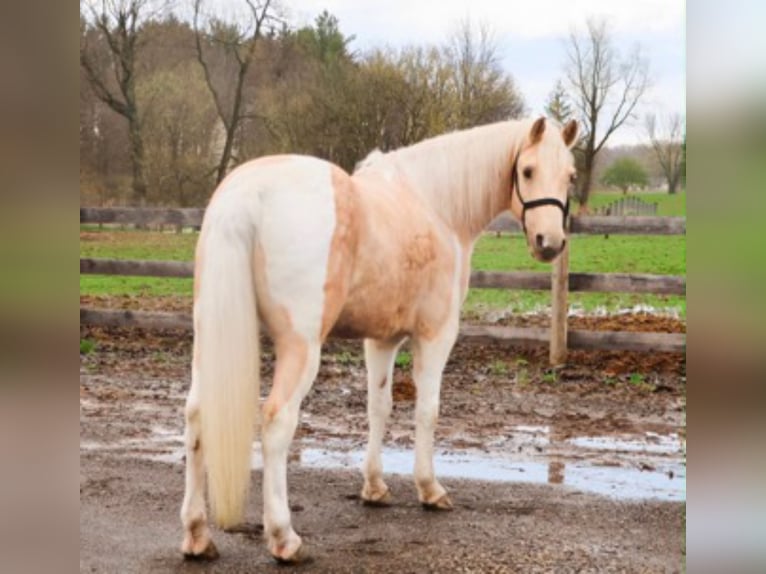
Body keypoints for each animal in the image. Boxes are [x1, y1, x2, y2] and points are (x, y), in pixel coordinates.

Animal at [180, 117, 579, 562]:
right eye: (527, 170)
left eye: (570, 176)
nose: (550, 243)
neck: (434, 205)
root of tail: (247, 195)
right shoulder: (436, 335)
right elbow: (427, 411)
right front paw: (430, 489)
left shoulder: (381, 341)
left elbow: (379, 408)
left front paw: (374, 487)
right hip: (301, 348)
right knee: (278, 422)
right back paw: (284, 538)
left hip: (210, 341)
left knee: (196, 416)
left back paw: (197, 536)